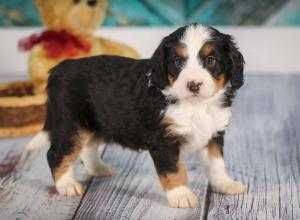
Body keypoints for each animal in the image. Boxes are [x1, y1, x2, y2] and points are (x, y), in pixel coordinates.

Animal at [27, 23, 245, 208]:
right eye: (177, 61)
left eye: (210, 60)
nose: (193, 85)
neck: (196, 105)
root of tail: (59, 69)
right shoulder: (163, 140)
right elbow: (174, 169)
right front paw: (181, 196)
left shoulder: (213, 133)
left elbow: (216, 164)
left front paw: (226, 184)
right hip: (70, 124)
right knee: (56, 154)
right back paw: (67, 186)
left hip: (96, 124)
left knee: (86, 148)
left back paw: (98, 168)